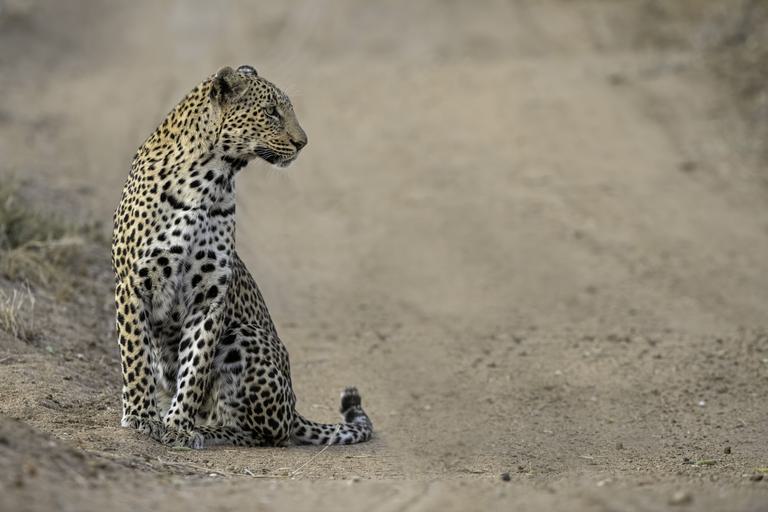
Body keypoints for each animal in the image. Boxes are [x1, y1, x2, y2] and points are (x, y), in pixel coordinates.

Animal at [111, 65, 372, 449]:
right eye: (272, 112)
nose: (303, 143)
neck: (210, 180)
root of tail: (293, 409)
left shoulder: (209, 297)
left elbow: (196, 365)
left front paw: (178, 426)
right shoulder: (133, 284)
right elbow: (135, 356)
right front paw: (142, 417)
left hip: (245, 334)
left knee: (261, 432)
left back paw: (205, 430)